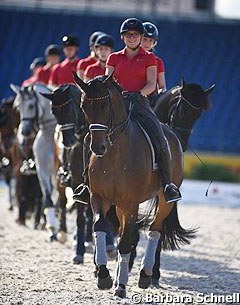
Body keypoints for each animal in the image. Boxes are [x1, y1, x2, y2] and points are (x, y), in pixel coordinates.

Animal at [74, 73, 196, 296]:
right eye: (84, 106)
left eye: (105, 105)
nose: (98, 147)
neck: (114, 153)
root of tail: (172, 133)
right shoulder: (99, 198)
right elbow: (100, 227)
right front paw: (104, 276)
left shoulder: (131, 203)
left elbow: (125, 243)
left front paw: (121, 286)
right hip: (120, 206)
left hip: (163, 200)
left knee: (155, 230)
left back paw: (146, 274)